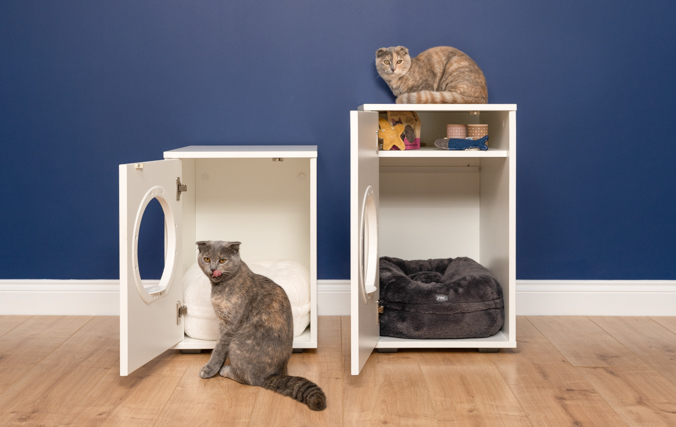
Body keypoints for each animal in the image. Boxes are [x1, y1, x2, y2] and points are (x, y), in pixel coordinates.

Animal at [197, 241, 326, 412]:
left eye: (222, 260)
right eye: (206, 259)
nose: (213, 268)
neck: (221, 287)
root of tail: (274, 375)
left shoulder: (230, 325)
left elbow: (218, 349)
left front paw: (210, 369)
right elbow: (219, 349)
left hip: (237, 342)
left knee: (249, 379)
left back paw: (226, 370)